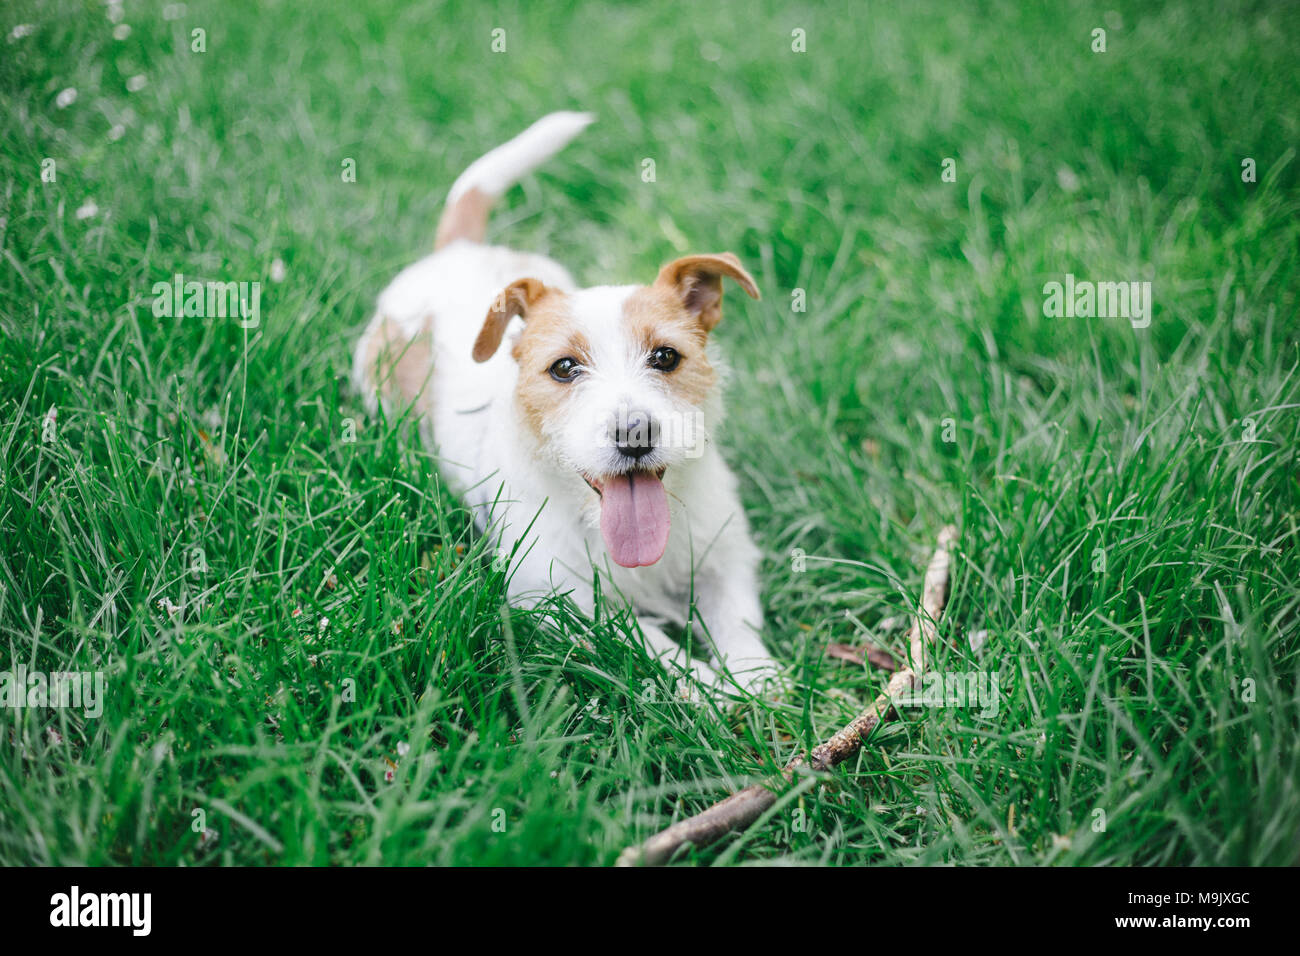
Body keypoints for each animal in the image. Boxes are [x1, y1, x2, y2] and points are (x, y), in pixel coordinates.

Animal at [351, 111, 774, 697]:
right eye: (564, 368)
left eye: (666, 356)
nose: (634, 433)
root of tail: (456, 252)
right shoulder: (563, 602)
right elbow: (652, 647)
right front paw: (709, 690)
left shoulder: (725, 555)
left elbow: (738, 620)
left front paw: (760, 681)